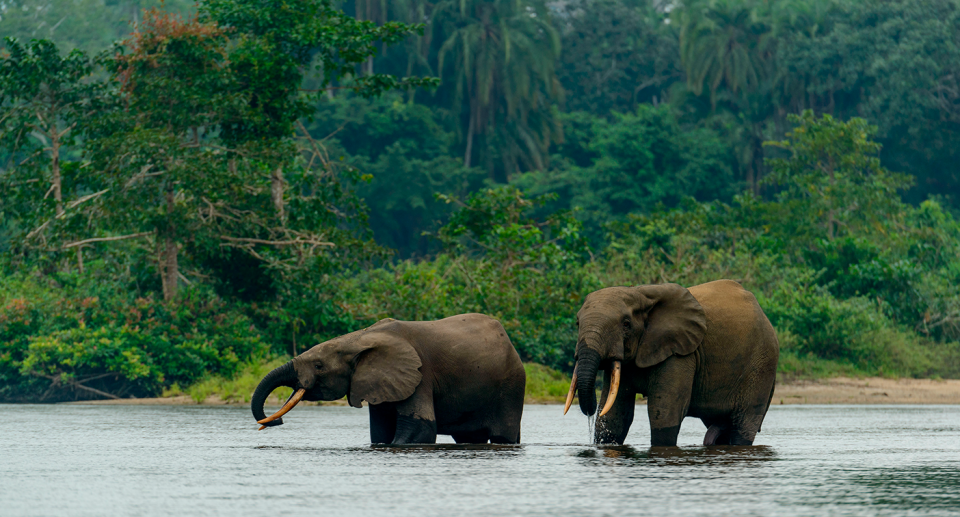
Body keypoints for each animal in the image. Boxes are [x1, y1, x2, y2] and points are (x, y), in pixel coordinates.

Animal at [251, 312, 524, 446]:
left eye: (319, 366)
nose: (277, 422)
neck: (359, 338)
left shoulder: (419, 375)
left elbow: (419, 431)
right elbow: (380, 432)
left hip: (511, 385)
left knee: (503, 436)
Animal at [564, 280, 780, 446]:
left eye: (626, 324)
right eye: (577, 323)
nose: (590, 412)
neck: (640, 293)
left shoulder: (680, 353)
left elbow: (665, 411)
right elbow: (615, 415)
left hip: (762, 363)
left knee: (743, 424)